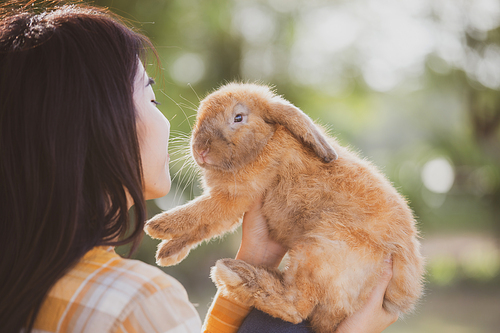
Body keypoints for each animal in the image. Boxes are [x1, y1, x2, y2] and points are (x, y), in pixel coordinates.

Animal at [146, 82, 426, 330]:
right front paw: (167, 254)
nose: (200, 150)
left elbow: (197, 213)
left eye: (238, 117)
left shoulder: (233, 198)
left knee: (297, 305)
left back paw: (235, 274)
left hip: (322, 250)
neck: (267, 142)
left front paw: (156, 226)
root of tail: (401, 295)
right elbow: (202, 226)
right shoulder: (231, 208)